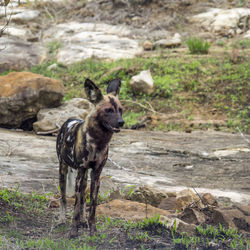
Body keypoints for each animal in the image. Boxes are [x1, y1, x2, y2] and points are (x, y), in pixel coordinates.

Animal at [56, 77, 123, 236]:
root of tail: (68, 120)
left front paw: (92, 229)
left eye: (121, 110)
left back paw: (83, 220)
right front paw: (73, 232)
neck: (98, 141)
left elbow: (92, 205)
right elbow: (74, 206)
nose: (121, 122)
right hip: (63, 171)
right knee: (64, 198)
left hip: (86, 177)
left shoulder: (96, 175)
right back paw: (62, 219)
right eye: (108, 110)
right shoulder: (80, 173)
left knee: (82, 200)